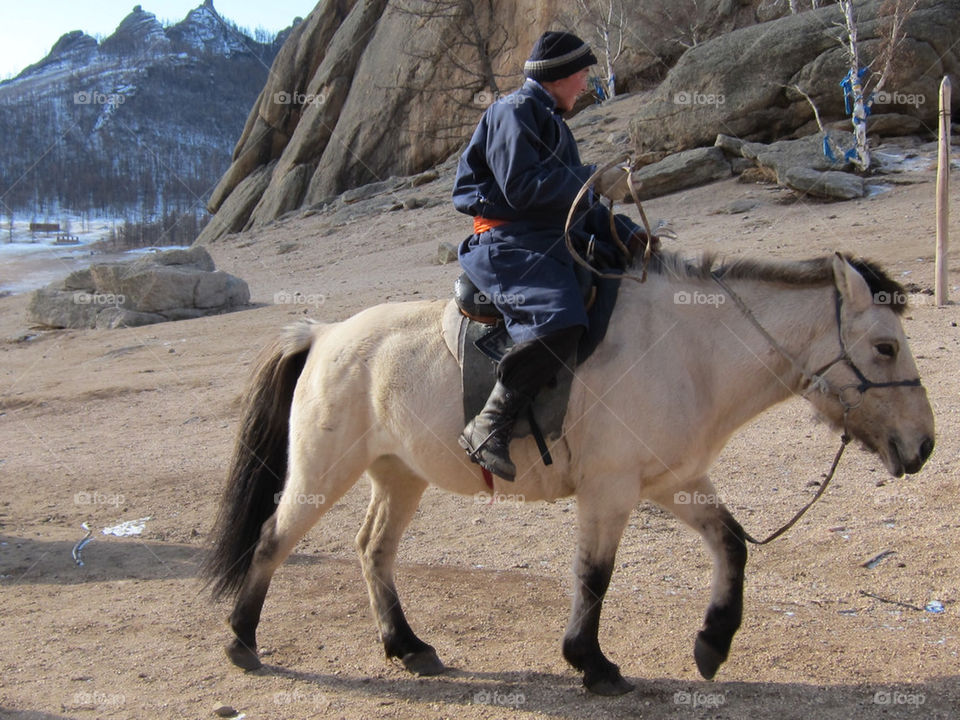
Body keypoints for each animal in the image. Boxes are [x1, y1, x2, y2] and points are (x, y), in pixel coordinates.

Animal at [202, 251, 934, 695]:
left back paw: (407, 647)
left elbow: (731, 544)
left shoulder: (673, 482)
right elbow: (594, 575)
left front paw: (712, 644)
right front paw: (593, 663)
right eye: (885, 346)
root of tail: (324, 333)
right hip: (324, 471)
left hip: (399, 476)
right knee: (272, 539)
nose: (923, 446)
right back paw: (241, 641)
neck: (690, 353)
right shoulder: (610, 490)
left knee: (372, 550)